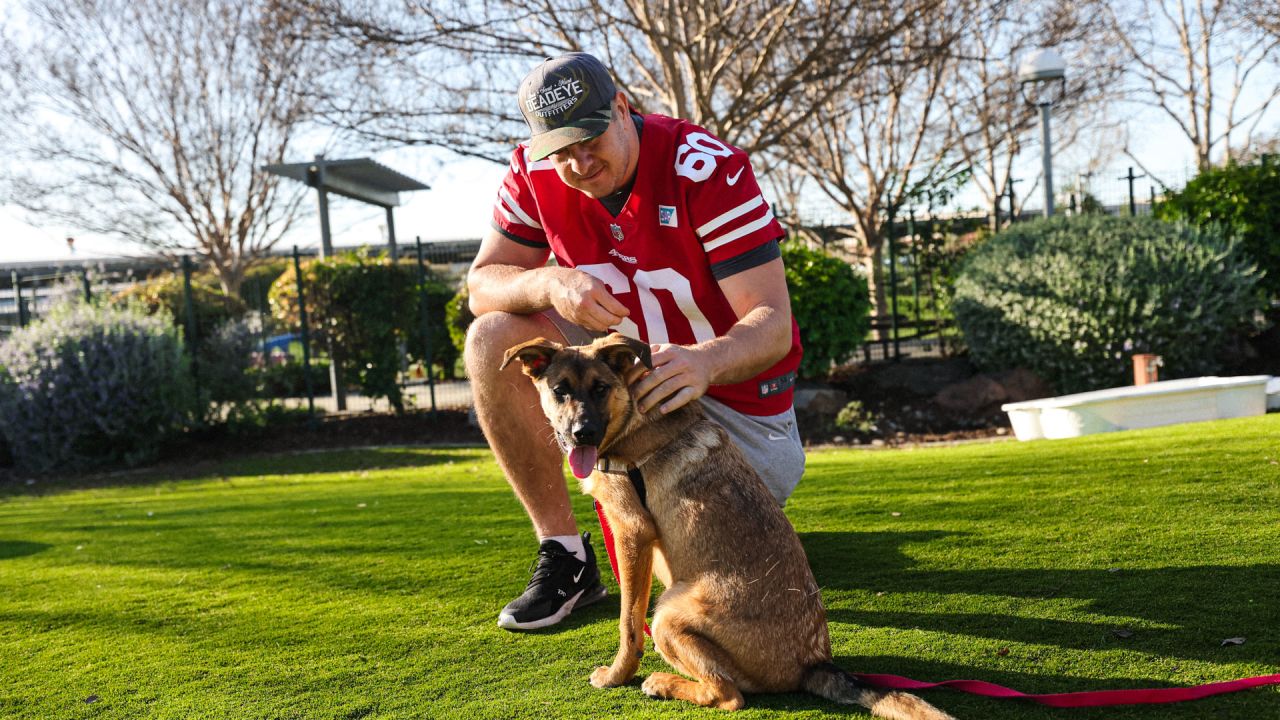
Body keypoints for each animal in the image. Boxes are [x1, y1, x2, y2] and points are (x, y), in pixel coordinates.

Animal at [501, 333, 962, 712]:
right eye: (559, 391)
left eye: (601, 388)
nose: (583, 433)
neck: (631, 416)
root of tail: (812, 664)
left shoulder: (632, 532)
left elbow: (628, 624)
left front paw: (616, 676)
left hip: (669, 612)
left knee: (727, 695)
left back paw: (663, 683)